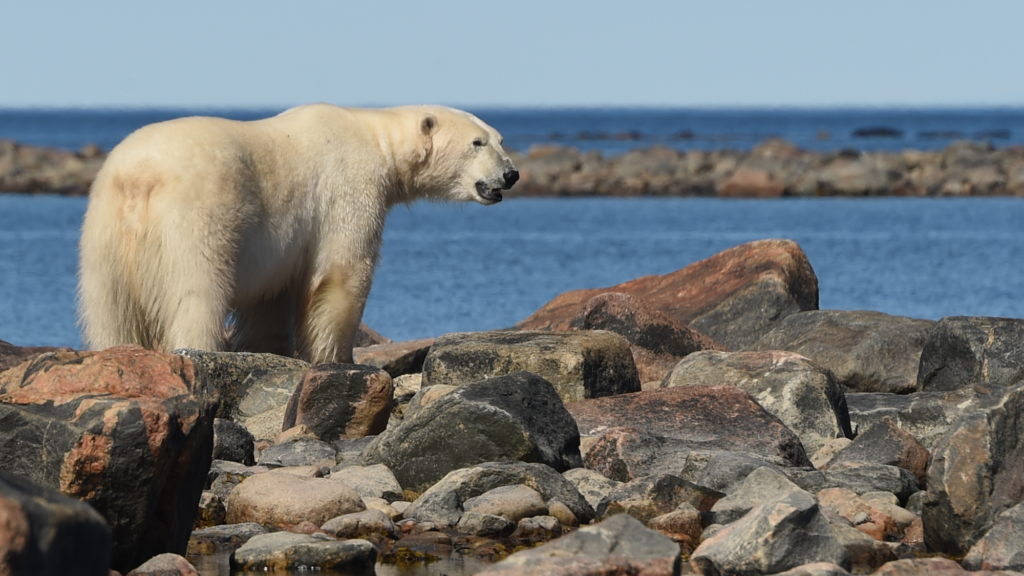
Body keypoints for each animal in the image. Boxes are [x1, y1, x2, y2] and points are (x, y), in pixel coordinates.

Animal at [78, 104, 518, 363]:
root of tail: (141, 179)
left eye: (500, 138)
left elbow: (271, 302)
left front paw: (270, 350)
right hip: (196, 217)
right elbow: (342, 274)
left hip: (102, 232)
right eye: (477, 143)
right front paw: (336, 360)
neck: (377, 138)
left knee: (109, 311)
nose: (511, 174)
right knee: (196, 294)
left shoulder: (282, 245)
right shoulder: (347, 187)